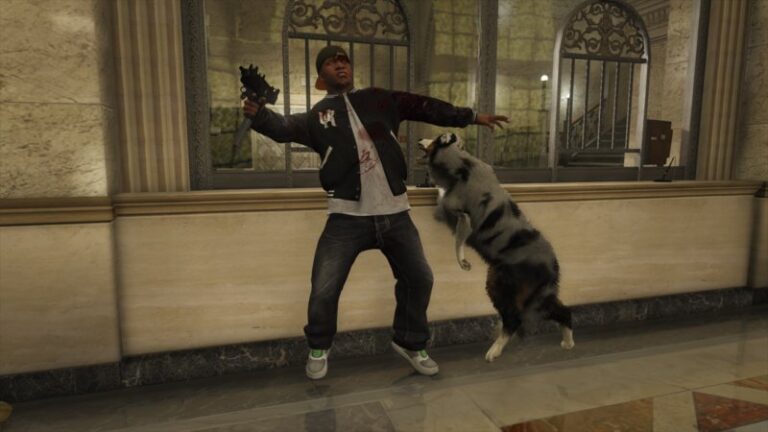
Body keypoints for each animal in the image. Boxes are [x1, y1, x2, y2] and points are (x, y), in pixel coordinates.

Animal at [419, 133, 574, 362]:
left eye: (433, 138)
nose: (420, 139)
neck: (461, 163)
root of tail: (553, 265)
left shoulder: (460, 215)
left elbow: (457, 238)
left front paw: (463, 262)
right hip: (537, 296)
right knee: (563, 310)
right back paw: (568, 341)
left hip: (501, 286)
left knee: (514, 319)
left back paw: (495, 350)